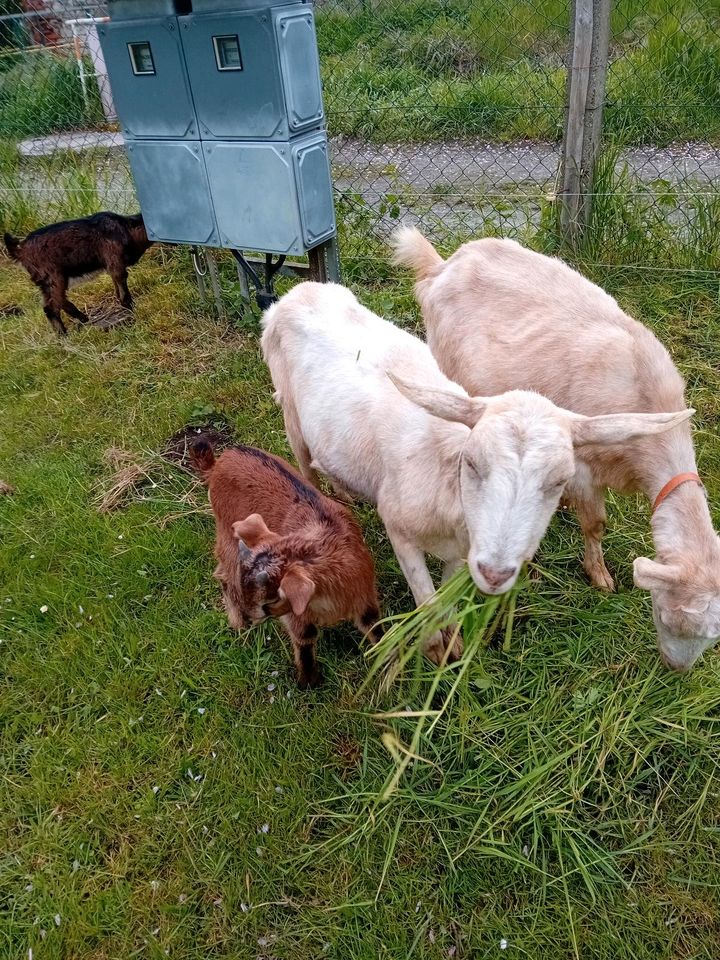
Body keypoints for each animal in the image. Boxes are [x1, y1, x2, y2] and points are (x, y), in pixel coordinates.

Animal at [258, 282, 688, 664]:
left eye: (558, 482)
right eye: (472, 462)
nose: (495, 573)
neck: (448, 486)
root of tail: (297, 292)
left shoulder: (462, 550)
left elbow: (445, 597)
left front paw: (453, 644)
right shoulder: (399, 528)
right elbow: (426, 597)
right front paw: (435, 651)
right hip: (292, 416)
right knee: (305, 469)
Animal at [394, 229, 720, 672]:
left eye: (713, 635)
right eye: (666, 614)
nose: (677, 669)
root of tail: (444, 264)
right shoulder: (584, 463)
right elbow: (595, 523)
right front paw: (598, 575)